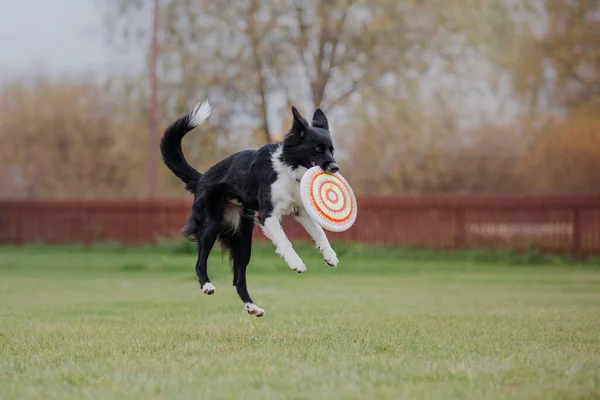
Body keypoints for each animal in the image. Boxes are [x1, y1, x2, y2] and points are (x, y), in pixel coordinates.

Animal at [159, 101, 340, 318]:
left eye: (331, 150)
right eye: (317, 149)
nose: (335, 168)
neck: (288, 168)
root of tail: (201, 178)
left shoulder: (301, 212)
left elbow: (320, 233)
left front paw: (330, 255)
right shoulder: (268, 216)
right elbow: (285, 240)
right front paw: (296, 262)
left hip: (244, 240)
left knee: (238, 279)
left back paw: (252, 307)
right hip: (210, 226)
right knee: (199, 263)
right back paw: (207, 285)